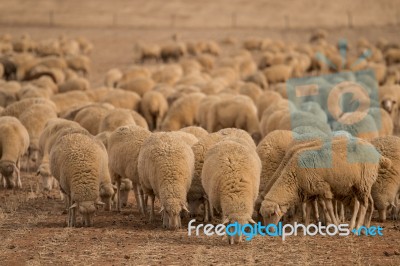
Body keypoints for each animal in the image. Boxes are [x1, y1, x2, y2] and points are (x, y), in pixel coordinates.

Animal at [260, 136, 388, 230]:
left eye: (272, 214)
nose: (268, 231)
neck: (293, 175)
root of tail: (376, 153)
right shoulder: (310, 192)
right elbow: (309, 209)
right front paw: (306, 226)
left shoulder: (324, 188)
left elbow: (328, 208)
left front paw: (333, 224)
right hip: (362, 186)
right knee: (368, 203)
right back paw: (364, 226)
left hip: (362, 183)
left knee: (363, 205)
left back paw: (356, 227)